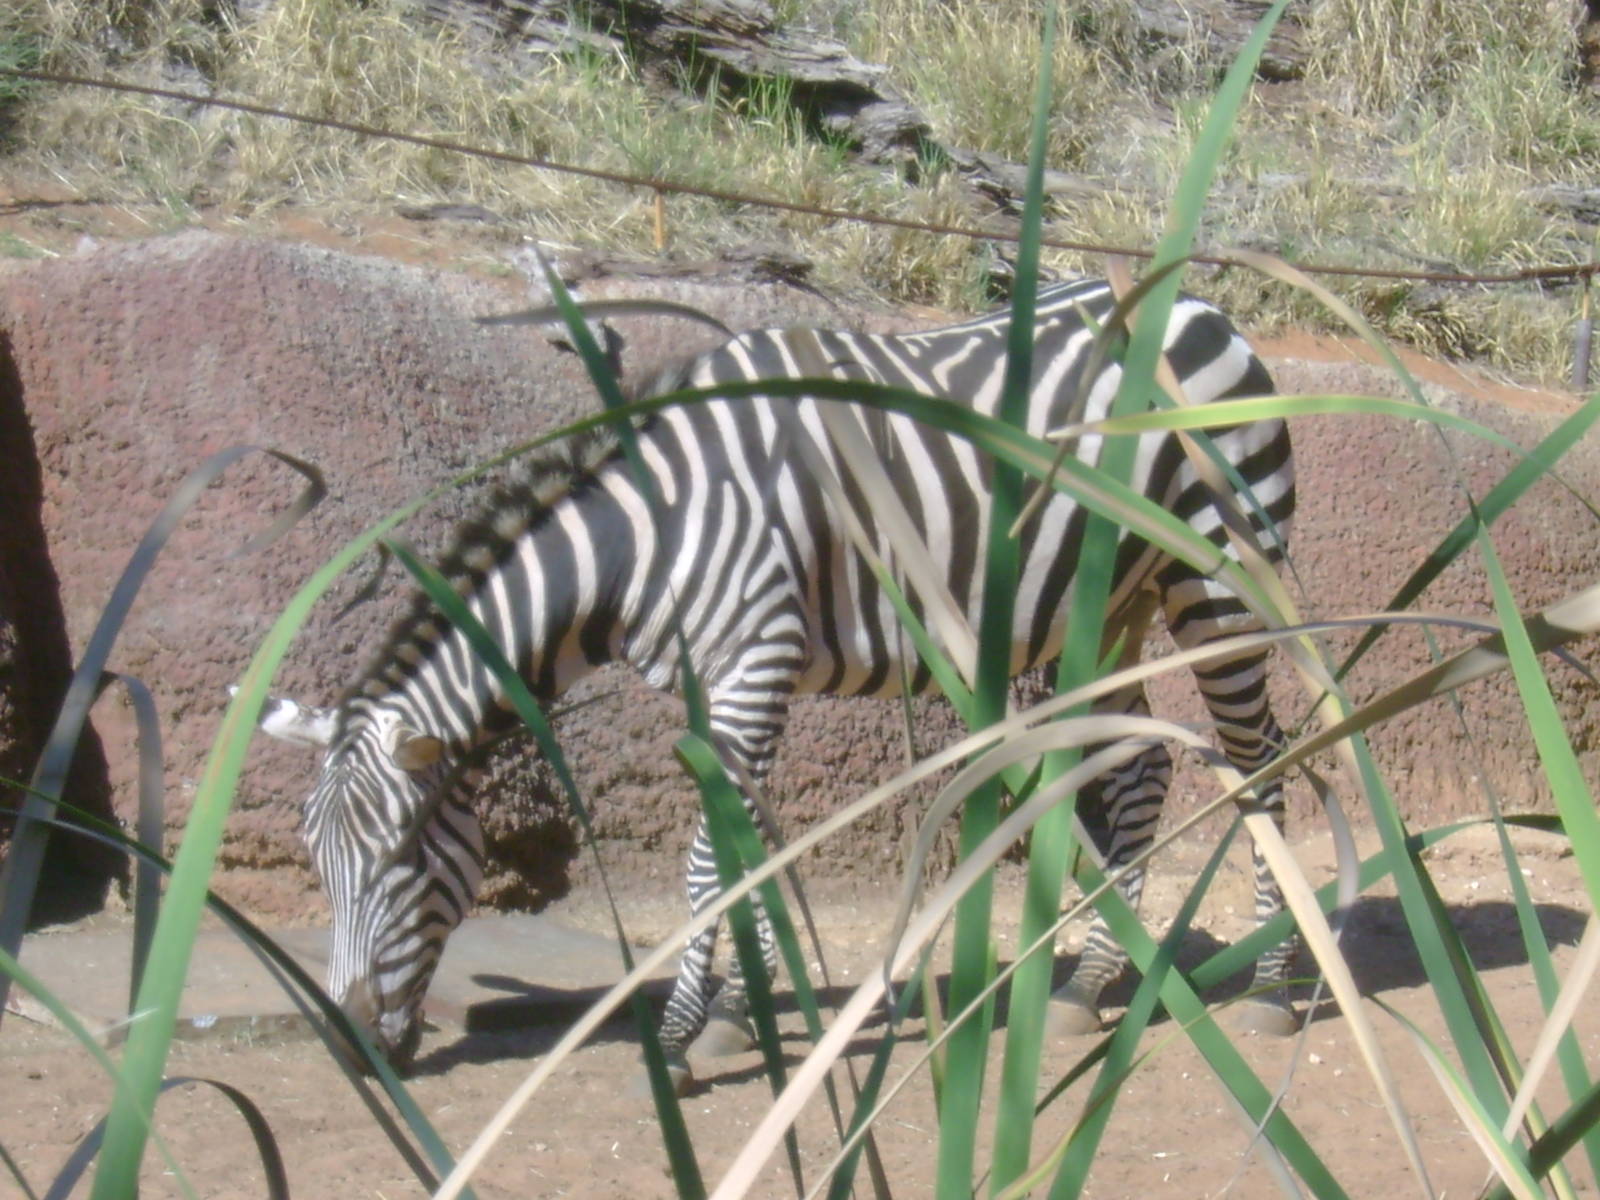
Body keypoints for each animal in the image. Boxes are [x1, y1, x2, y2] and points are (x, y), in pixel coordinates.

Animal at [252, 276, 1297, 1091]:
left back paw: (1277, 985)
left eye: (402, 859)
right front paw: (737, 1019)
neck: (649, 533)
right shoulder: (714, 683)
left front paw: (682, 1038)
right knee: (1139, 769)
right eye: (314, 862)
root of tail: (1202, 302)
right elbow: (745, 842)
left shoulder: (756, 660)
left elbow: (709, 858)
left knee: (1264, 757)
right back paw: (1086, 984)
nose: (353, 1051)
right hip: (1107, 606)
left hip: (1217, 584)